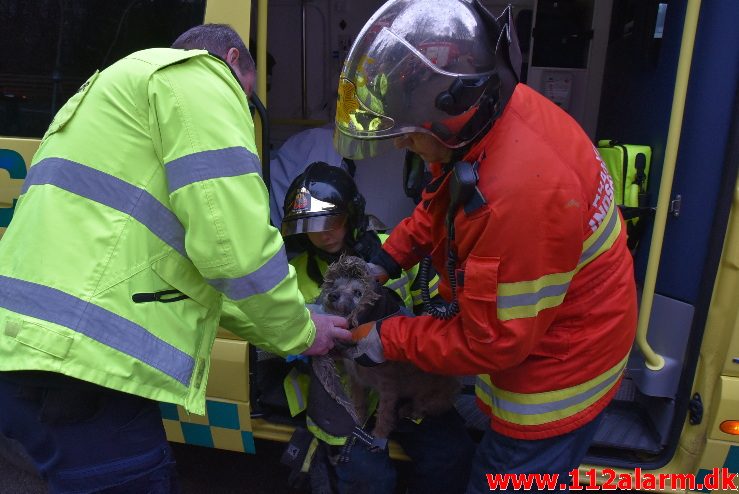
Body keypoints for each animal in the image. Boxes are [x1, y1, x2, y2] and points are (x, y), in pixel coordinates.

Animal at [320, 255, 462, 440]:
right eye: (336, 285)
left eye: (358, 292)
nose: (332, 295)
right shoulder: (356, 381)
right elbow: (359, 404)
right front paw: (359, 423)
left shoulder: (388, 388)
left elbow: (384, 414)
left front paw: (379, 435)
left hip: (429, 397)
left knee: (421, 408)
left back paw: (407, 410)